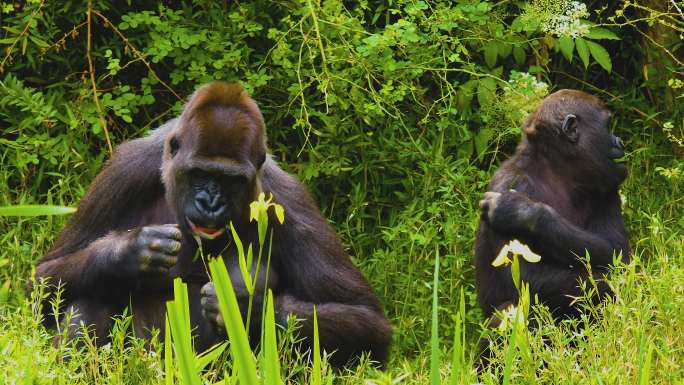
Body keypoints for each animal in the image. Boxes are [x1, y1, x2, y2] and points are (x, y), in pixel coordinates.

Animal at [36, 82, 390, 366]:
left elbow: (369, 321)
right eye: (199, 174)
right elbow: (42, 281)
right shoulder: (125, 171)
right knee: (93, 289)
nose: (210, 203)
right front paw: (129, 252)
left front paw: (246, 306)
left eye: (230, 181)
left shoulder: (288, 200)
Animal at [472, 88, 628, 326]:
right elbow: (527, 278)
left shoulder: (609, 186)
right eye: (608, 125)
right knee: (509, 311)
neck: (557, 170)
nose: (619, 141)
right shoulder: (510, 182)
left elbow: (617, 252)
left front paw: (523, 213)